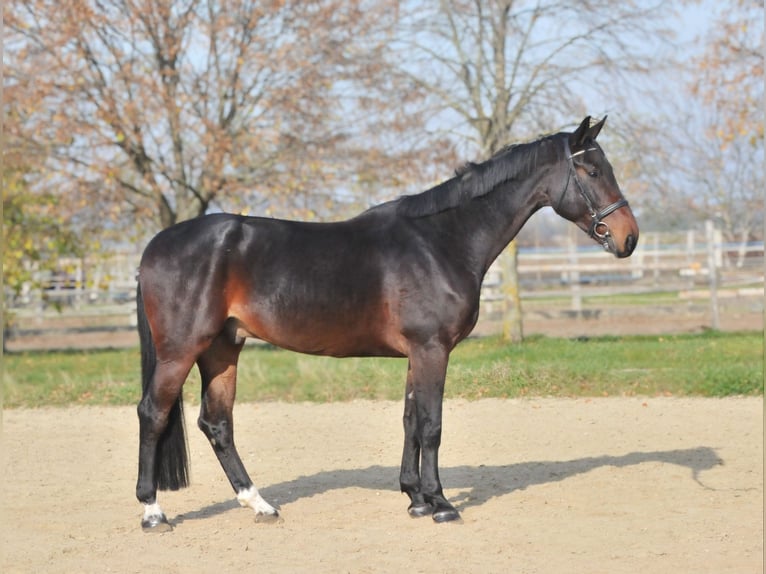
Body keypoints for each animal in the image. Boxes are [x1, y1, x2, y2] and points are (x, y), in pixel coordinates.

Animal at [136, 116, 640, 532]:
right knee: (153, 413)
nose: (629, 237)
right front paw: (441, 504)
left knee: (217, 423)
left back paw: (259, 504)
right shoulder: (432, 349)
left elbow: (410, 420)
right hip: (182, 350)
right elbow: (432, 424)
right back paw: (153, 512)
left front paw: (415, 498)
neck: (440, 242)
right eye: (592, 172)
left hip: (222, 349)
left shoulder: (418, 353)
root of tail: (155, 245)